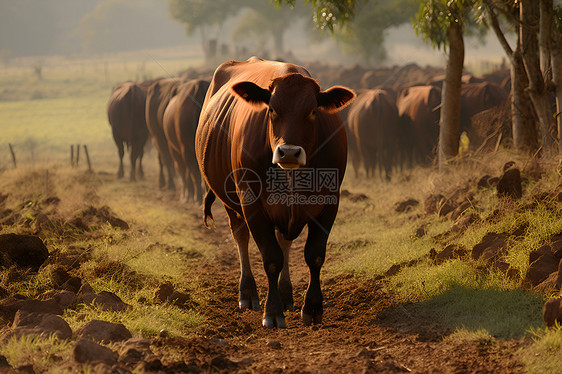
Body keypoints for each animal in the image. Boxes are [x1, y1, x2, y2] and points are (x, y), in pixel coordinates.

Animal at [195, 57, 352, 328]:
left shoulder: (330, 201)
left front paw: (312, 307)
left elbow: (314, 255)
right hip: (230, 202)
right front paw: (273, 312)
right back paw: (248, 293)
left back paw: (287, 295)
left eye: (313, 111)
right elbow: (271, 258)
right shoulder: (252, 204)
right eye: (271, 110)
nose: (288, 152)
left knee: (284, 242)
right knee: (241, 237)